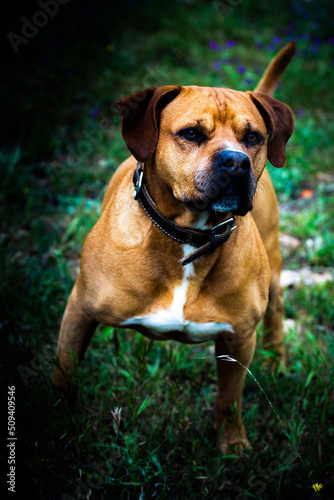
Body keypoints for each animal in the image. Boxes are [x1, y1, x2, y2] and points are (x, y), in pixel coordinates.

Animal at [52, 43, 294, 454]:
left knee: (276, 310)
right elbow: (64, 371)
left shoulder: (238, 339)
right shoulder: (80, 310)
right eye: (191, 133)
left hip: (274, 269)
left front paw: (232, 444)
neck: (189, 238)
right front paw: (55, 420)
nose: (237, 161)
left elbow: (229, 398)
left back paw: (278, 362)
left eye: (253, 137)